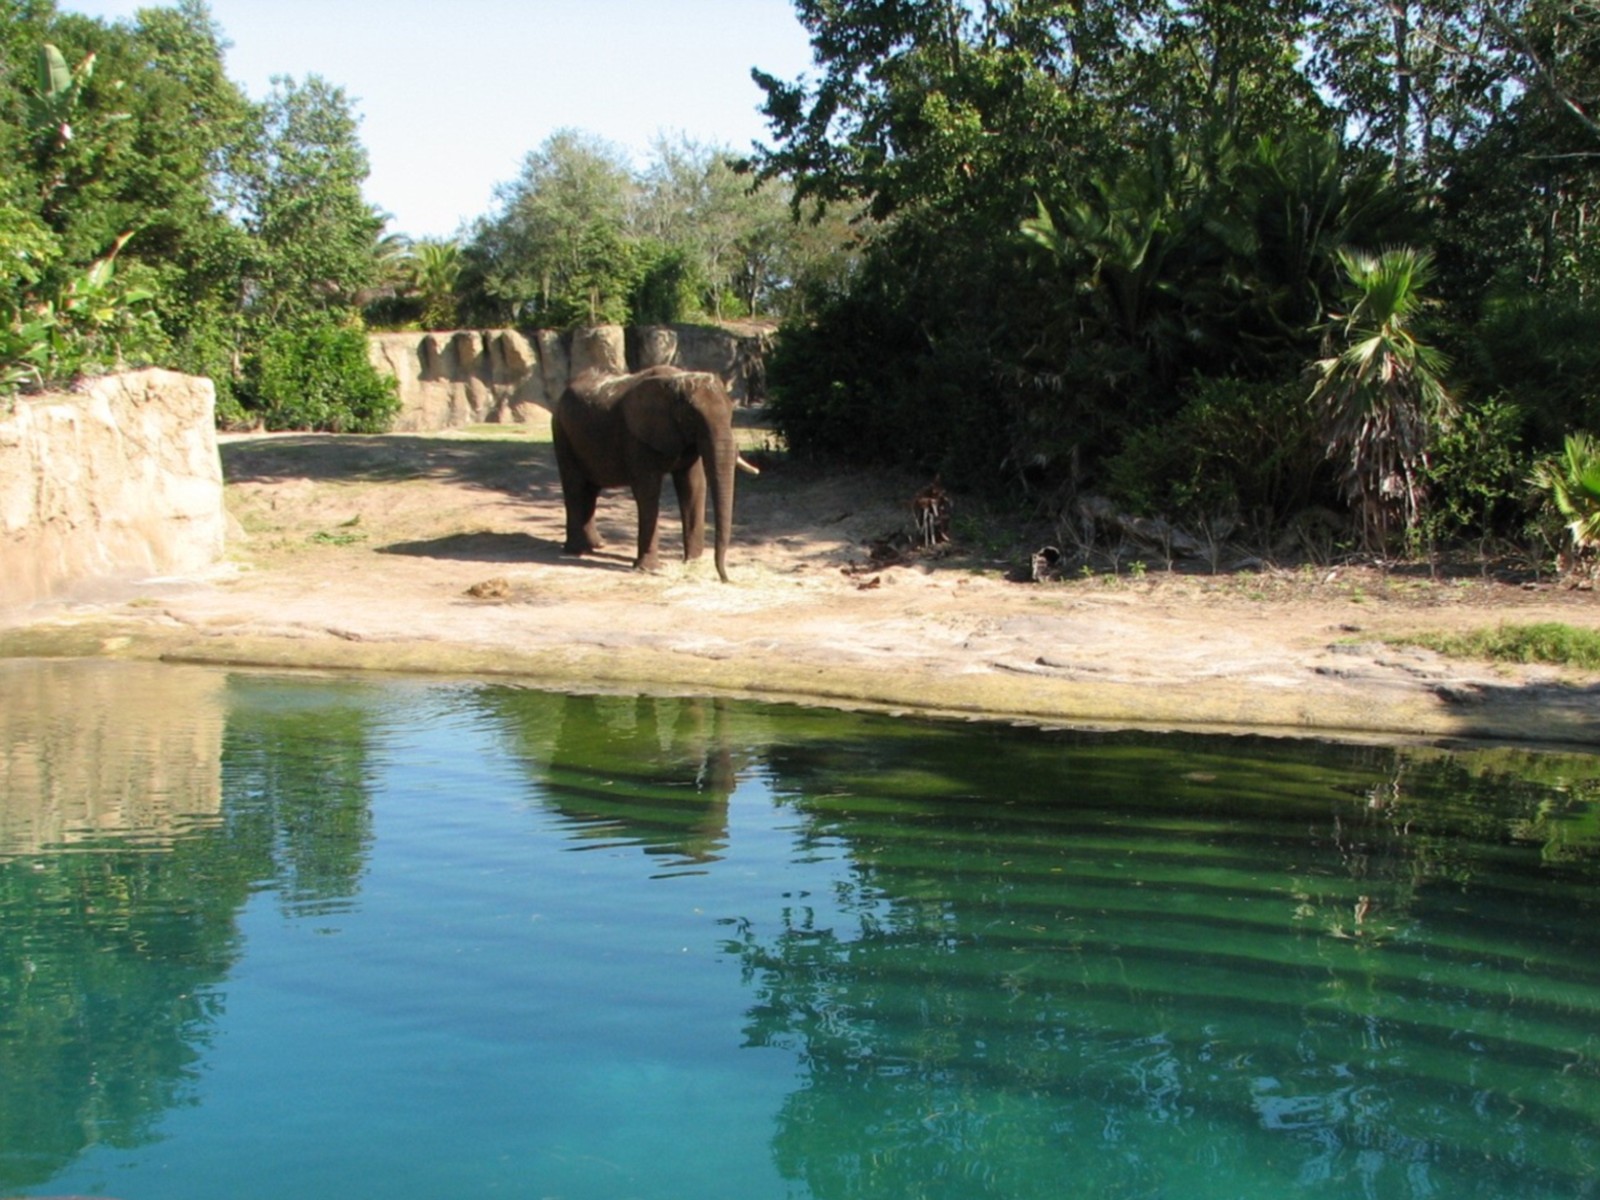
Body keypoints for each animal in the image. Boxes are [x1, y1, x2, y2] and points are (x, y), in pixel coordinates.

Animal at [552, 365, 756, 582]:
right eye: (692, 417)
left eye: (731, 415)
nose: (725, 579)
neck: (678, 380)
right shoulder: (637, 436)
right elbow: (648, 490)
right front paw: (648, 569)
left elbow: (693, 485)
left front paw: (693, 563)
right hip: (561, 430)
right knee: (574, 486)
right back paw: (577, 551)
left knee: (591, 489)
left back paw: (596, 545)